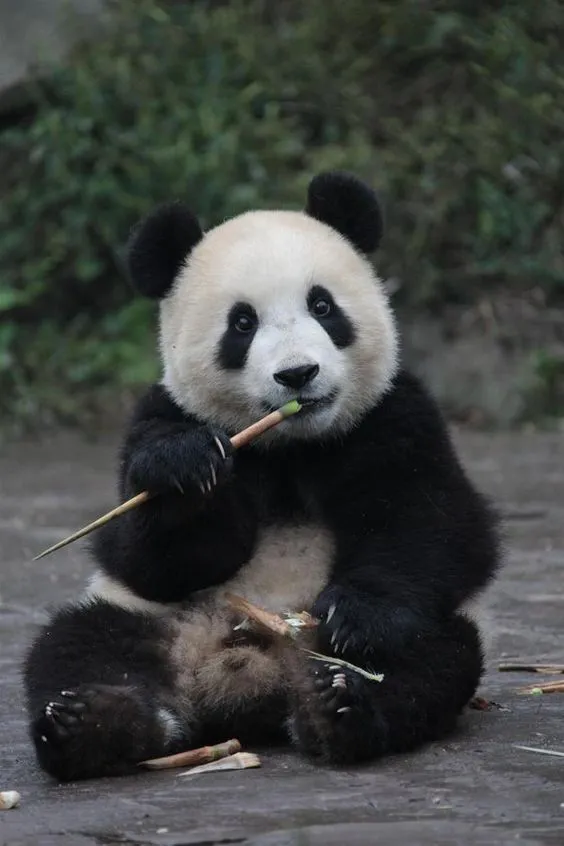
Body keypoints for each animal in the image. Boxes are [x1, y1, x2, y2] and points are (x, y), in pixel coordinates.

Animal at [24, 171, 501, 781]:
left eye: (322, 305)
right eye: (242, 323)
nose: (298, 374)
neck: (288, 446)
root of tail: (248, 680)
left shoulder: (395, 416)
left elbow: (434, 522)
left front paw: (357, 616)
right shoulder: (158, 416)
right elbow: (148, 559)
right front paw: (185, 470)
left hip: (415, 633)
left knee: (431, 660)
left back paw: (340, 707)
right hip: (146, 619)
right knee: (77, 644)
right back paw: (92, 724)